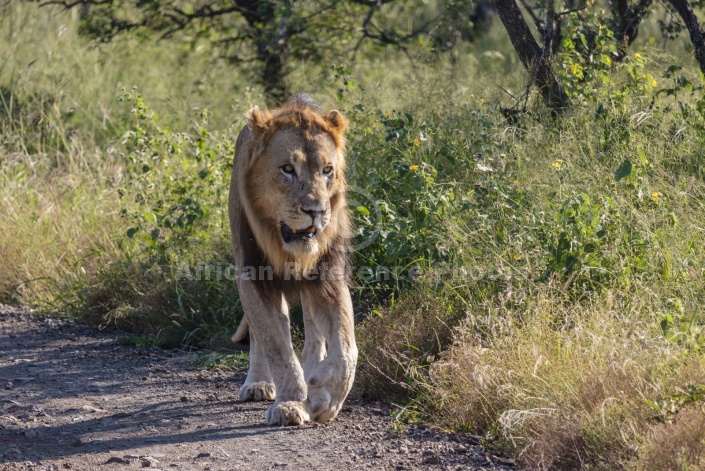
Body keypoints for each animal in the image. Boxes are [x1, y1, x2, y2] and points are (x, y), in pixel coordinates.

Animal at [227, 94, 358, 426]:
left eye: (327, 170)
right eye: (287, 168)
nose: (316, 211)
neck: (286, 249)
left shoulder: (329, 277)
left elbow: (347, 345)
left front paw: (325, 397)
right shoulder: (252, 276)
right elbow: (275, 344)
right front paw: (291, 402)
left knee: (313, 328)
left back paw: (314, 371)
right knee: (264, 334)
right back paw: (258, 384)